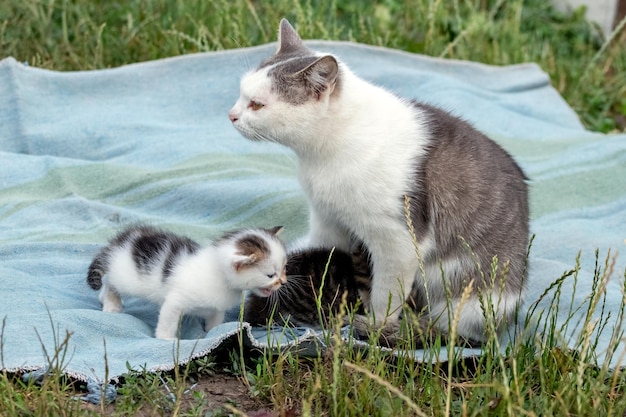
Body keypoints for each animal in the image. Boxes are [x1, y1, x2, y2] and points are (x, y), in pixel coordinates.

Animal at [86, 224, 286, 338]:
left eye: (284, 268)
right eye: (270, 275)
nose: (283, 282)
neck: (219, 275)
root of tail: (122, 240)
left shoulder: (217, 307)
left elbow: (215, 318)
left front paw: (212, 332)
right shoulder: (176, 301)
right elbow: (168, 319)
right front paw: (165, 338)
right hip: (126, 276)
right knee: (110, 280)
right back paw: (112, 303)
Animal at [228, 18, 528, 344]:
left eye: (257, 105)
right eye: (240, 93)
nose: (231, 115)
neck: (321, 155)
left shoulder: (398, 243)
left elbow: (386, 294)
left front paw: (374, 327)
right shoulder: (326, 218)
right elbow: (319, 250)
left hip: (468, 301)